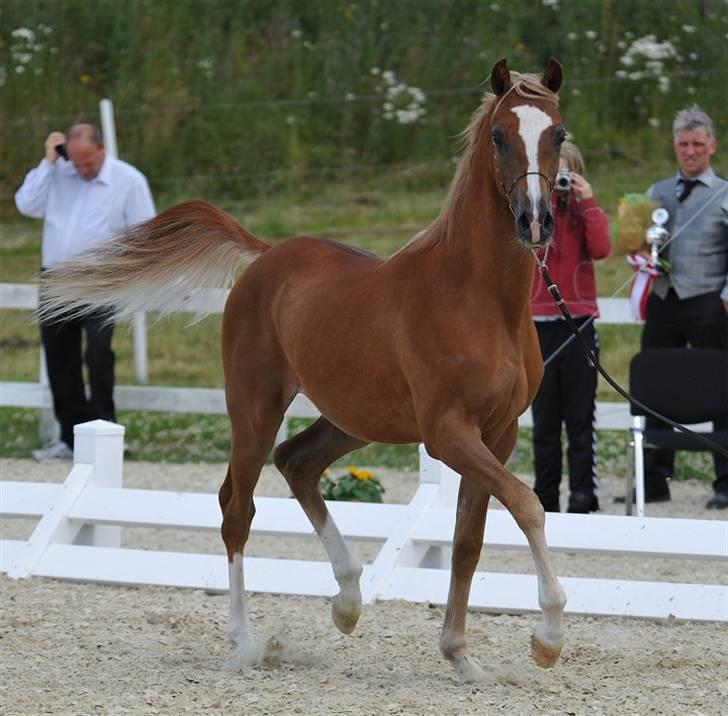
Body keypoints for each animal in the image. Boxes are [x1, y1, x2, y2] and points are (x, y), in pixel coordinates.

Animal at [41, 58, 568, 680]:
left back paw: (347, 601)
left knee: (296, 464)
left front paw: (461, 657)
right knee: (237, 507)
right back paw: (247, 643)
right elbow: (529, 506)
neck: (477, 298)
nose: (534, 221)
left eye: (558, 134)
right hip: (255, 407)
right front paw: (548, 637)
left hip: (350, 420)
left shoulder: (497, 433)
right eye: (499, 135)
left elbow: (470, 539)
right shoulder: (448, 433)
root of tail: (267, 255)